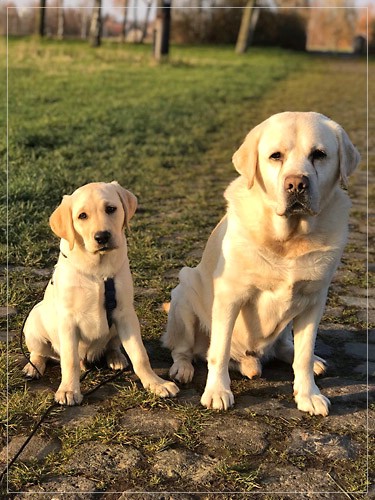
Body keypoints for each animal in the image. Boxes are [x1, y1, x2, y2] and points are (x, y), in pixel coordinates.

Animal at [23, 182, 179, 404]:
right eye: (82, 216)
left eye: (111, 209)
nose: (102, 237)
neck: (98, 270)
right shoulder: (68, 320)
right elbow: (69, 360)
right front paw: (68, 390)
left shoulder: (125, 314)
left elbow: (140, 354)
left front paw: (156, 383)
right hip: (34, 324)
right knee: (40, 353)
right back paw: (33, 367)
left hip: (116, 328)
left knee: (112, 346)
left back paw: (116, 358)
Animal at [164, 111, 362, 416]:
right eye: (275, 156)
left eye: (319, 154)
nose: (297, 184)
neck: (289, 240)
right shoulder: (230, 297)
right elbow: (218, 351)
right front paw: (217, 391)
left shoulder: (315, 300)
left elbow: (303, 355)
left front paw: (308, 394)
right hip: (184, 293)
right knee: (184, 349)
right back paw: (183, 368)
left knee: (285, 348)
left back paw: (312, 361)